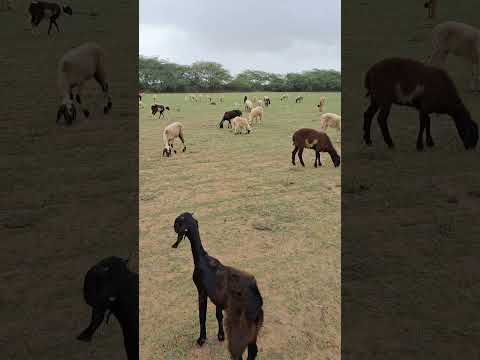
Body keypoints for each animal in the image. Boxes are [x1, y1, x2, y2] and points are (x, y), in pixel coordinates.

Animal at [172, 212, 262, 358]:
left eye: (177, 221)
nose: (173, 227)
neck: (202, 259)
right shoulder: (217, 298)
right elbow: (218, 315)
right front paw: (220, 336)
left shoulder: (202, 292)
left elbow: (202, 316)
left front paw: (201, 339)